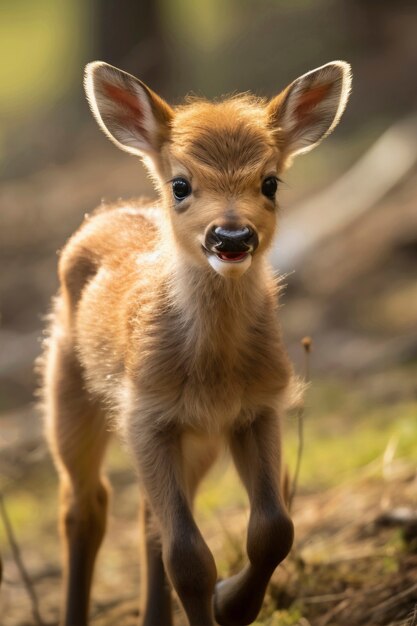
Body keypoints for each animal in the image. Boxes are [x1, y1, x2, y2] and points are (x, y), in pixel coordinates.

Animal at [42, 59, 350, 624]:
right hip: (66, 387)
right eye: (181, 184)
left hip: (196, 441)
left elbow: (274, 528)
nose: (231, 237)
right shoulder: (144, 411)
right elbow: (186, 557)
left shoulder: (258, 407)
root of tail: (106, 212)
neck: (215, 375)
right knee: (84, 503)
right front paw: (219, 599)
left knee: (146, 518)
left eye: (270, 182)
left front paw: (229, 602)